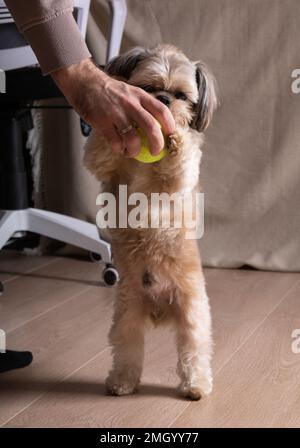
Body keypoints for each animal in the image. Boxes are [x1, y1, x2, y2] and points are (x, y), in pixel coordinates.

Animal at [83, 43, 217, 400]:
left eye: (182, 95)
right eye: (148, 87)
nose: (165, 100)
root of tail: (159, 310)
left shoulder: (175, 183)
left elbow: (176, 166)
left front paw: (177, 138)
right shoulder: (105, 165)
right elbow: (102, 151)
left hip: (192, 316)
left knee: (193, 352)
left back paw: (196, 386)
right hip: (126, 317)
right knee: (128, 351)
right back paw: (121, 382)